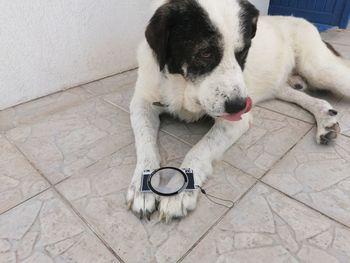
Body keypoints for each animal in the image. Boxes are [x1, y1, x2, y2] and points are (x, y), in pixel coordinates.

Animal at [125, 0, 348, 223]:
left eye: (243, 52)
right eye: (205, 52)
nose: (240, 106)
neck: (183, 86)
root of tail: (302, 19)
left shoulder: (235, 121)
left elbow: (198, 150)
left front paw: (179, 190)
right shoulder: (141, 104)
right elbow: (145, 144)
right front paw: (142, 187)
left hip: (319, 70)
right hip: (279, 85)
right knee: (310, 98)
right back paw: (325, 119)